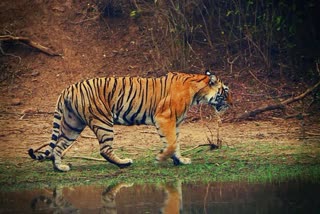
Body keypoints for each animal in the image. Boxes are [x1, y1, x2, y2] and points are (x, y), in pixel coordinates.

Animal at [28, 70, 231, 172]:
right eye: (226, 91)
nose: (231, 103)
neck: (197, 92)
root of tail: (67, 88)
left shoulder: (175, 123)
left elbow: (176, 143)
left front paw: (179, 160)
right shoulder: (164, 118)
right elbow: (172, 143)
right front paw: (160, 158)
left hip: (73, 124)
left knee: (58, 146)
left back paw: (60, 167)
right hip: (103, 121)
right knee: (104, 149)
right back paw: (124, 162)